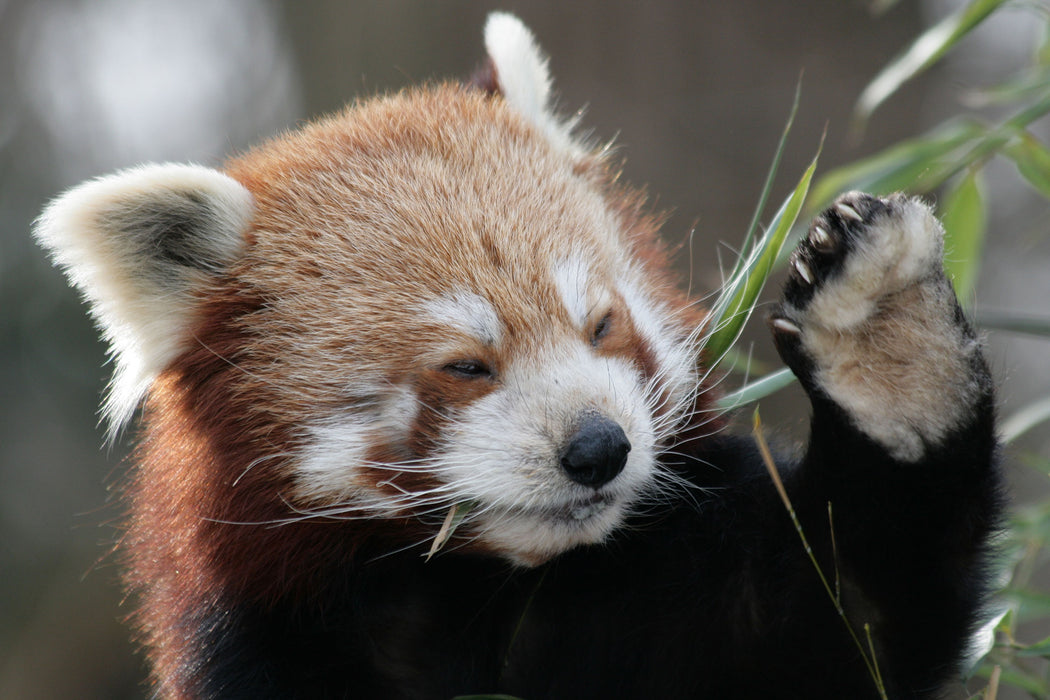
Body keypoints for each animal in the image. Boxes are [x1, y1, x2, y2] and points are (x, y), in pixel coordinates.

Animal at [34, 12, 999, 700]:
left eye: (602, 326)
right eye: (467, 365)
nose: (599, 448)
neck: (485, 594)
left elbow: (860, 617)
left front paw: (887, 341)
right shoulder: (271, 640)